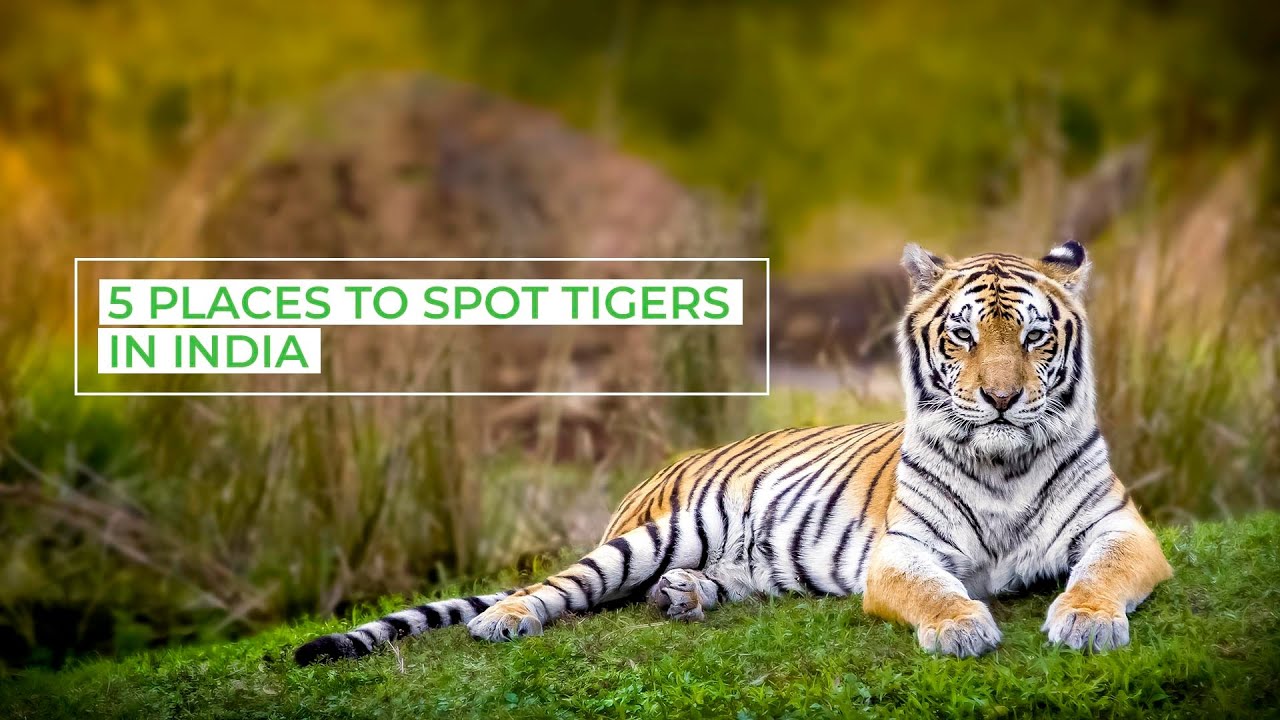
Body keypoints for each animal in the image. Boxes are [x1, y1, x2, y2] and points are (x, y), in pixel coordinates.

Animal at [295, 241, 1172, 665]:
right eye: (962, 337)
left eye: (1032, 337)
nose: (999, 399)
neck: (1003, 462)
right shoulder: (905, 551)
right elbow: (933, 591)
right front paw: (961, 629)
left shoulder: (1123, 530)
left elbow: (1101, 574)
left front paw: (1086, 623)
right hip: (657, 533)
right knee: (562, 586)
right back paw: (505, 620)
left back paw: (682, 597)